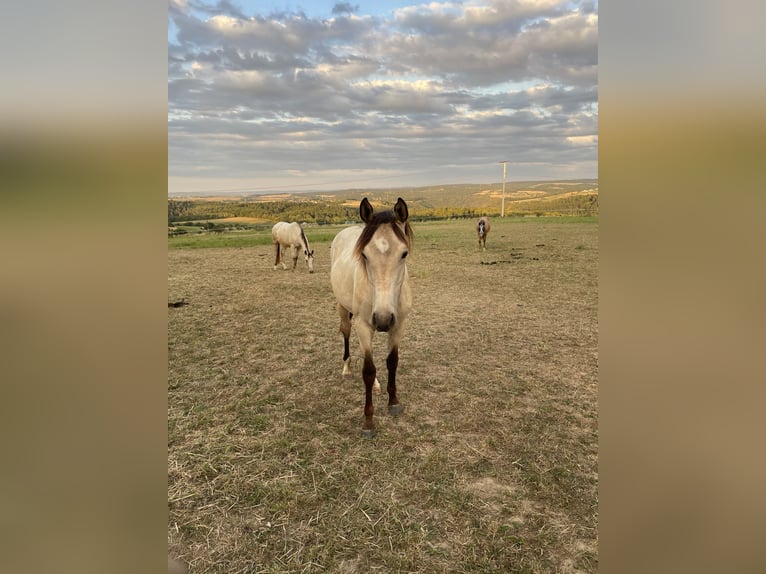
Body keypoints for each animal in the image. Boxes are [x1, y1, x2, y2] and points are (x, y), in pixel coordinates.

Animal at [330, 197, 413, 437]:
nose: (383, 318)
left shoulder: (398, 325)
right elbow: (367, 370)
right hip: (344, 311)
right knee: (346, 334)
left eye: (404, 253)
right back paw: (347, 369)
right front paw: (368, 421)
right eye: (364, 255)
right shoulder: (364, 325)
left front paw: (393, 402)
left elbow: (392, 362)